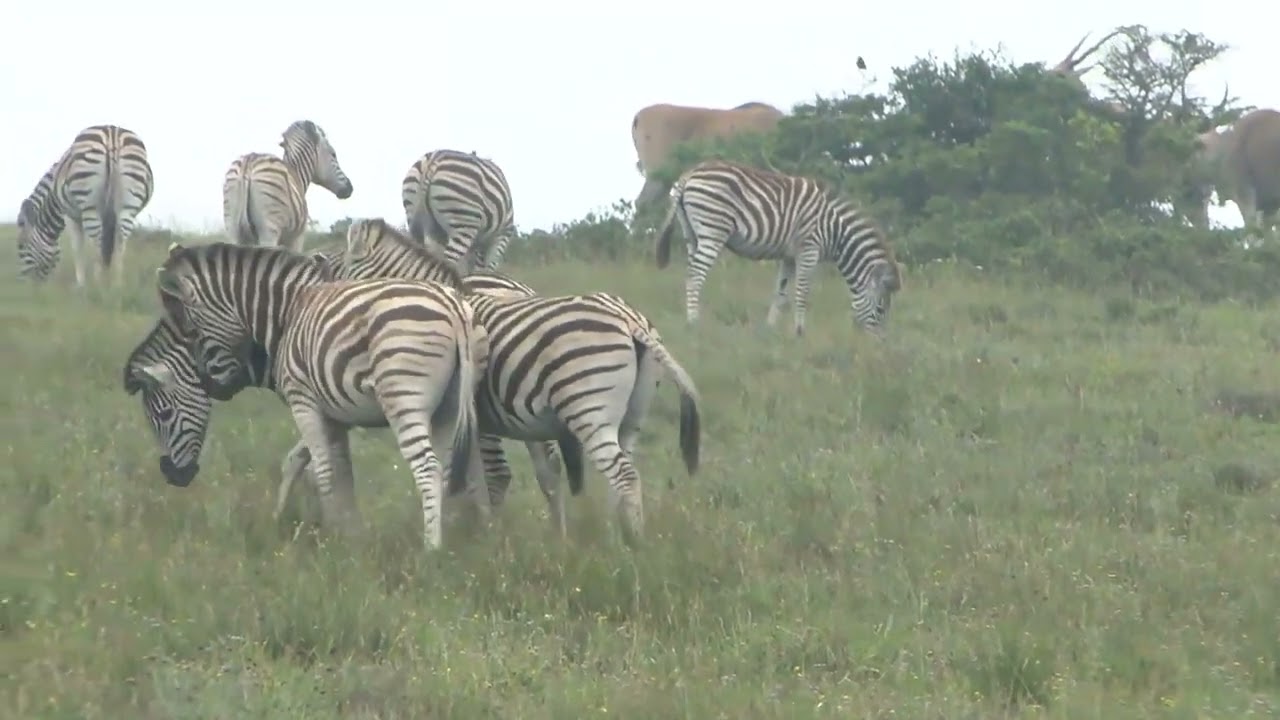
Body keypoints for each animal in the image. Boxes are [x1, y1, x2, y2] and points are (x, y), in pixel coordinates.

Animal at [16, 124, 154, 287]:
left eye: (21, 247)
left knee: (98, 242)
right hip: (127, 207)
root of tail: (112, 134)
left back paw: (99, 285)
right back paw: (116, 286)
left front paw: (81, 285)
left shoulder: (69, 215)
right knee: (120, 241)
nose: (27, 285)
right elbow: (108, 247)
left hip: (90, 206)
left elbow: (77, 247)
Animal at [153, 241, 484, 551]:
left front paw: (328, 538)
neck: (287, 313)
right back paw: (438, 535)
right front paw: (349, 536)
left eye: (193, 331)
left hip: (403, 397)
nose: (212, 386)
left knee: (427, 468)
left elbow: (323, 471)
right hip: (448, 408)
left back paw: (431, 549)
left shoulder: (303, 400)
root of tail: (454, 306)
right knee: (444, 470)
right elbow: (338, 474)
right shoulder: (335, 414)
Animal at [223, 120, 353, 253]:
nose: (349, 188)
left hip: (233, 229)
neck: (298, 174)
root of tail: (248, 162)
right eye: (333, 154)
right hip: (269, 230)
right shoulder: (297, 238)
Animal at [333, 218, 702, 544]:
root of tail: (630, 319)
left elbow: (478, 478)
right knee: (623, 470)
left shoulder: (474, 419)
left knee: (624, 475)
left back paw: (634, 546)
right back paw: (615, 537)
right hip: (631, 417)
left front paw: (480, 535)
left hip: (588, 409)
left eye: (343, 270)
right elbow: (496, 475)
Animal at [654, 159, 902, 336]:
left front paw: (770, 330)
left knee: (690, 274)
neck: (836, 231)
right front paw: (800, 332)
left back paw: (693, 320)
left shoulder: (789, 257)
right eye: (881, 309)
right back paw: (694, 324)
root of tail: (689, 174)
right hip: (713, 230)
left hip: (692, 235)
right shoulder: (808, 249)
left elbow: (780, 294)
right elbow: (802, 292)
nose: (881, 343)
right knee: (695, 276)